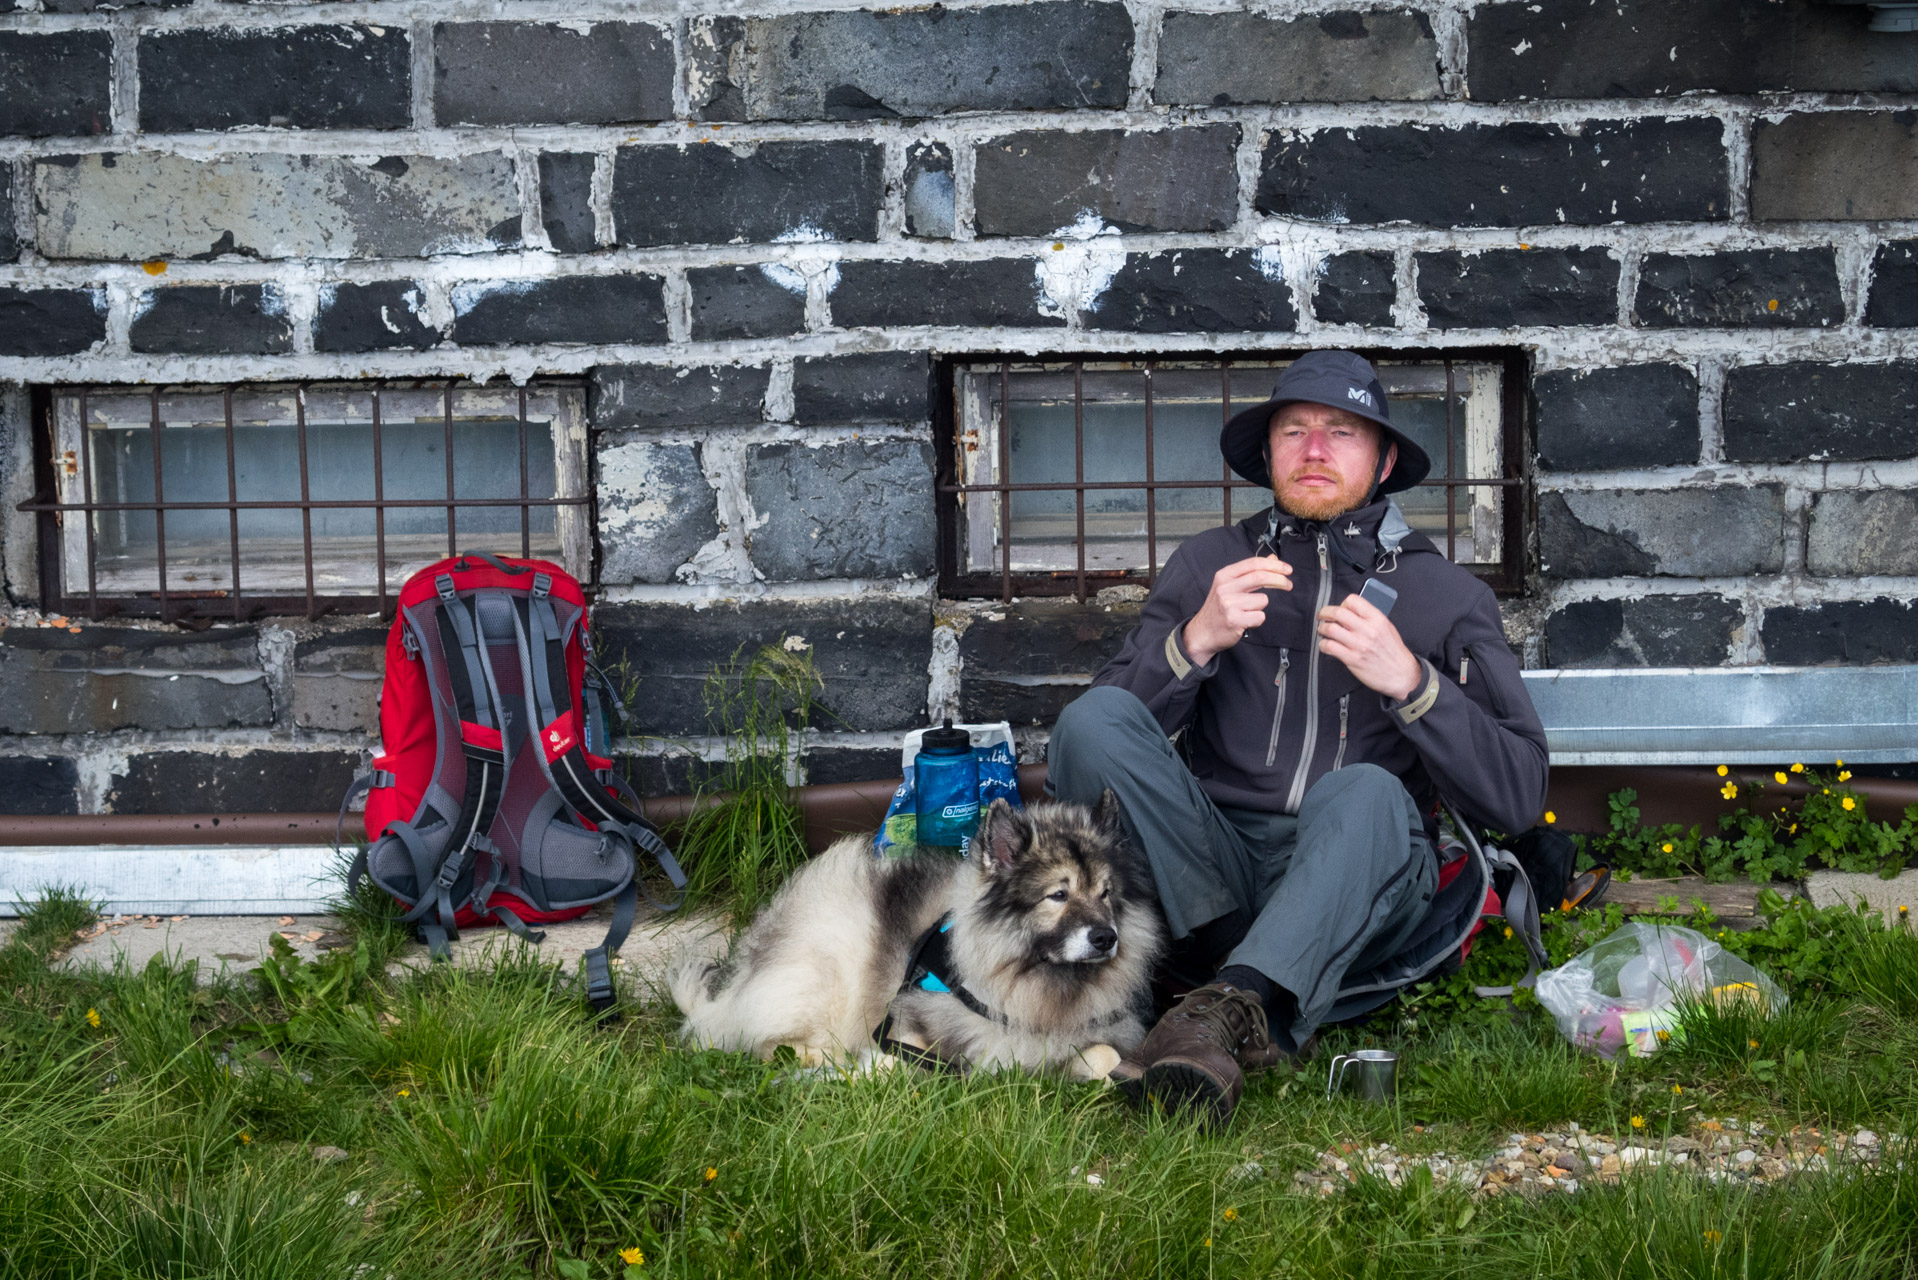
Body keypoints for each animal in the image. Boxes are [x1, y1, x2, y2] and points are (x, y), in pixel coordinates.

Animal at [667, 790, 1158, 1082]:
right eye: (1058, 895)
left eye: (1106, 893)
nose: (1106, 938)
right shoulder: (907, 1020)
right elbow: (900, 1063)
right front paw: (867, 1069)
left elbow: (1106, 1056)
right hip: (828, 978)